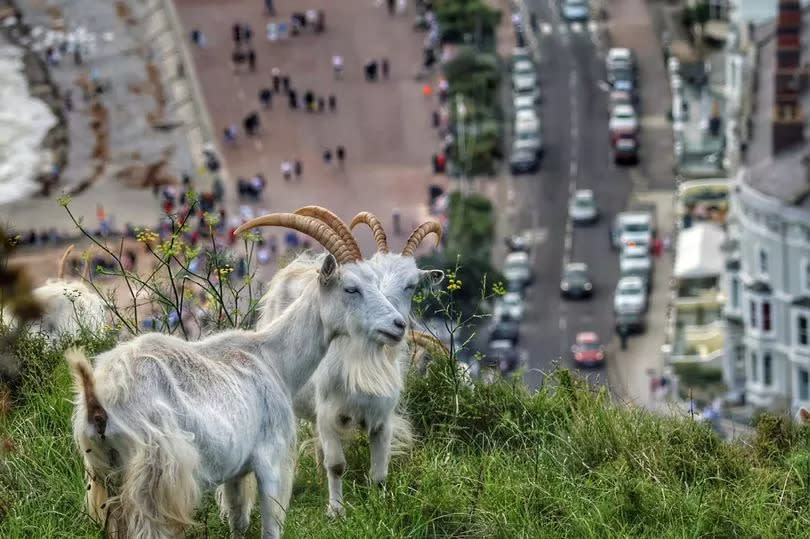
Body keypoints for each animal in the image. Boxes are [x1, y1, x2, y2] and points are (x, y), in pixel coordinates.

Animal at [65, 212, 408, 539]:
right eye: (351, 288)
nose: (399, 325)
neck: (272, 359)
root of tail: (100, 398)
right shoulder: (271, 458)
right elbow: (271, 527)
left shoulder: (234, 471)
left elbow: (238, 521)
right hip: (155, 475)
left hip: (102, 475)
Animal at [238, 208, 442, 520]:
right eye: (353, 289)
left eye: (411, 286)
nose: (398, 324)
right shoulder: (329, 414)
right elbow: (336, 465)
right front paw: (335, 511)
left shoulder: (382, 418)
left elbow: (379, 472)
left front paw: (380, 505)